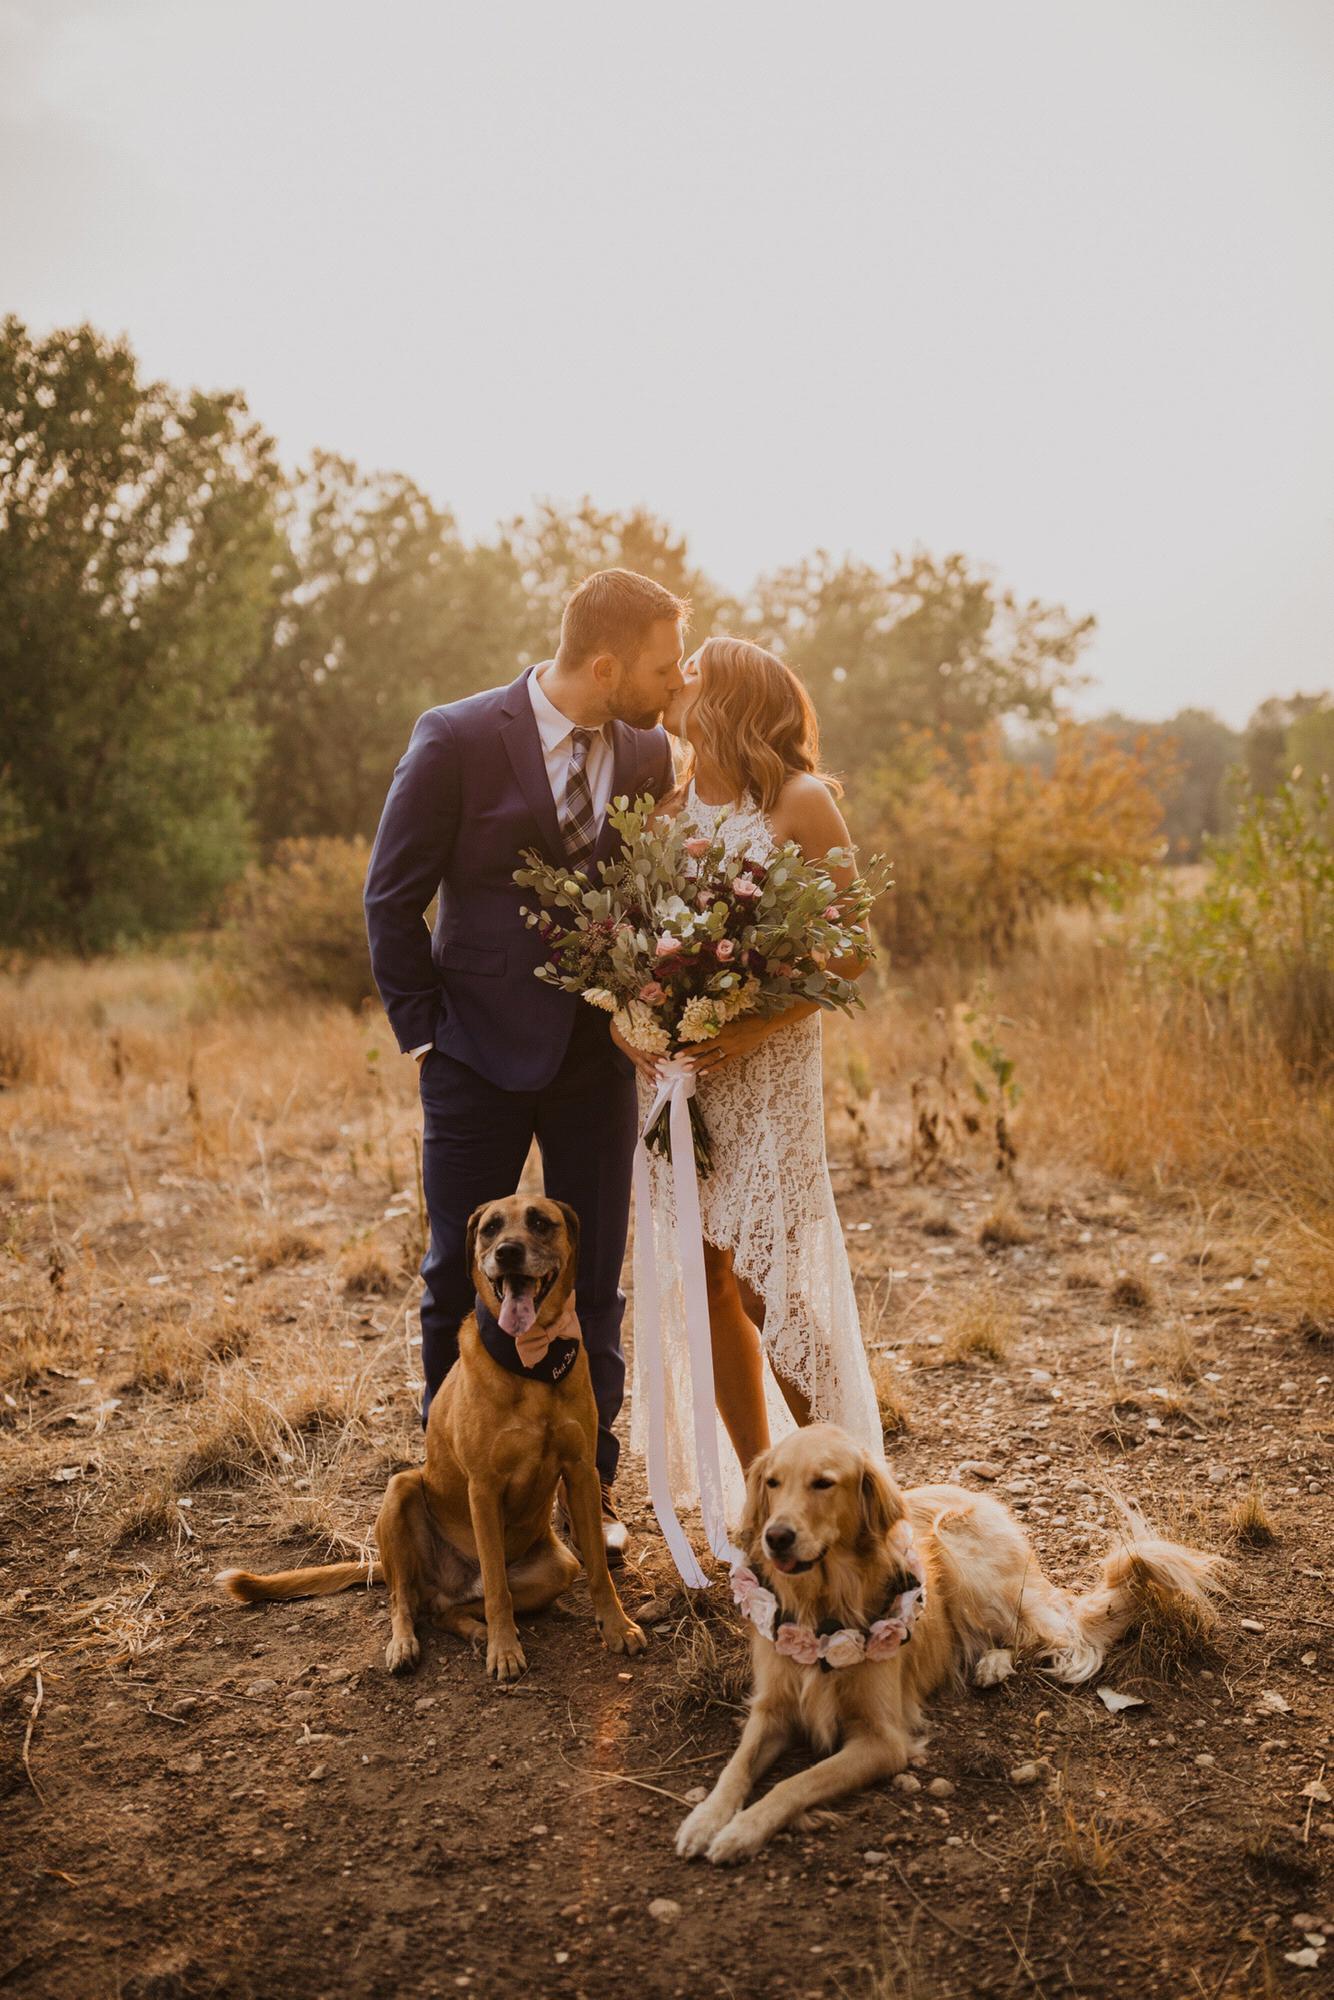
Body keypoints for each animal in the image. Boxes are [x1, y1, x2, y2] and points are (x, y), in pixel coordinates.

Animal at [217, 1192, 648, 1680]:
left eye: (540, 1222)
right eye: (490, 1228)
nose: (507, 1253)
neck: (531, 1361)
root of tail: (448, 1582)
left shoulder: (581, 1473)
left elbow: (599, 1571)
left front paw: (617, 1627)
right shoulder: (483, 1487)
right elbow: (497, 1588)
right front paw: (505, 1650)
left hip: (556, 1568)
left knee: (445, 1608)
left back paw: (474, 1630)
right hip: (401, 1490)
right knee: (406, 1600)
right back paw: (408, 1645)